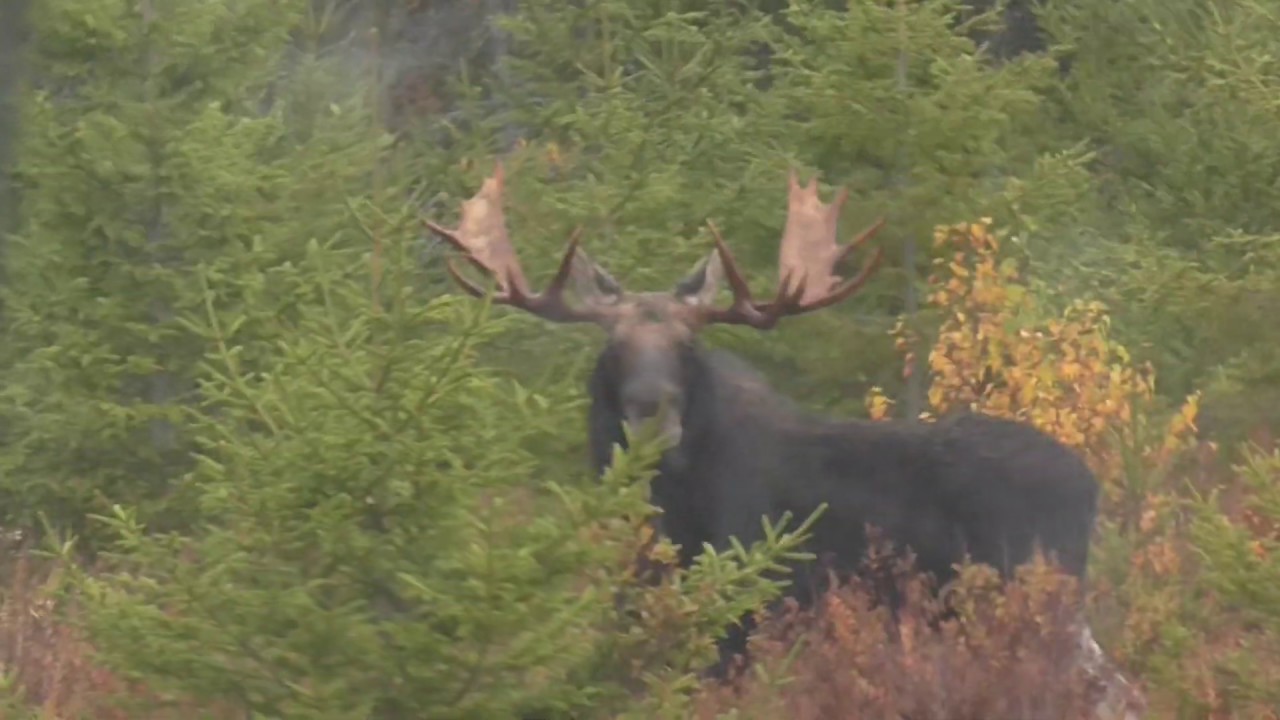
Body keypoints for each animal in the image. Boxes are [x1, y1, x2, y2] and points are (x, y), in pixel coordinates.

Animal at [424, 163, 1103, 684]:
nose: (650, 413)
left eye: (687, 347)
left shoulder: (747, 598)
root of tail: (1091, 484)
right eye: (613, 348)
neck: (671, 507)